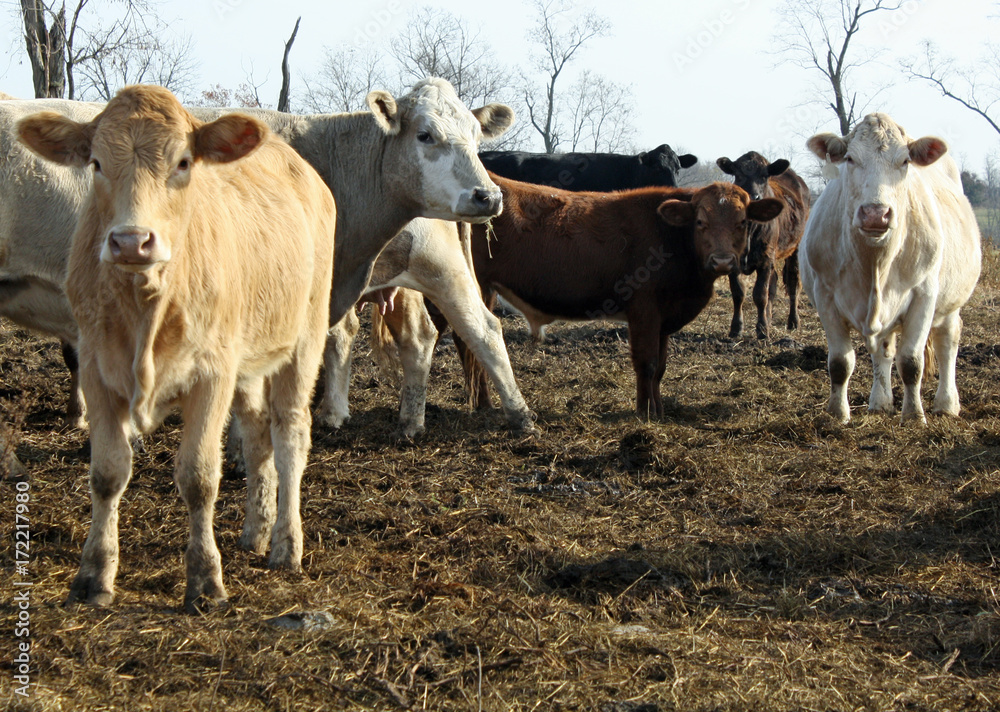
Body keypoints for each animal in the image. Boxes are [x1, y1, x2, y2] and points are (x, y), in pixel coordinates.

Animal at [17, 86, 338, 612]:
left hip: (304, 337)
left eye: (183, 162)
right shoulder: (96, 368)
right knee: (257, 434)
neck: (146, 304)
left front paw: (205, 579)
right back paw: (256, 531)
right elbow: (107, 472)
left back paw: (286, 544)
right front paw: (94, 575)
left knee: (290, 435)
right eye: (97, 163)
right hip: (247, 361)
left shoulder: (212, 373)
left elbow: (199, 477)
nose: (131, 242)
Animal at [448, 176, 788, 418]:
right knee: (472, 341)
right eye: (700, 222)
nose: (722, 261)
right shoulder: (644, 311)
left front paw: (658, 409)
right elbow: (646, 363)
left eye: (742, 222)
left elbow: (660, 367)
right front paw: (645, 413)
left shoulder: (663, 319)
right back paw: (484, 405)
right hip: (477, 286)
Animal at [716, 150, 808, 340]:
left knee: (794, 283)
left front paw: (762, 331)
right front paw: (736, 328)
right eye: (738, 174)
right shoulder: (734, 260)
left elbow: (760, 294)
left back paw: (793, 322)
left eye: (764, 176)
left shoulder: (765, 259)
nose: (753, 197)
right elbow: (738, 293)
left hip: (795, 248)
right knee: (773, 283)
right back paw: (769, 318)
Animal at [800, 111, 980, 422]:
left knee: (947, 342)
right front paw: (837, 414)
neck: (874, 264)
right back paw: (880, 401)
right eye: (850, 158)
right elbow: (840, 362)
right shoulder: (825, 296)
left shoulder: (924, 294)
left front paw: (914, 415)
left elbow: (911, 361)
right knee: (883, 349)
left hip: (950, 302)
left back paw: (947, 403)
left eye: (905, 161)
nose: (876, 213)